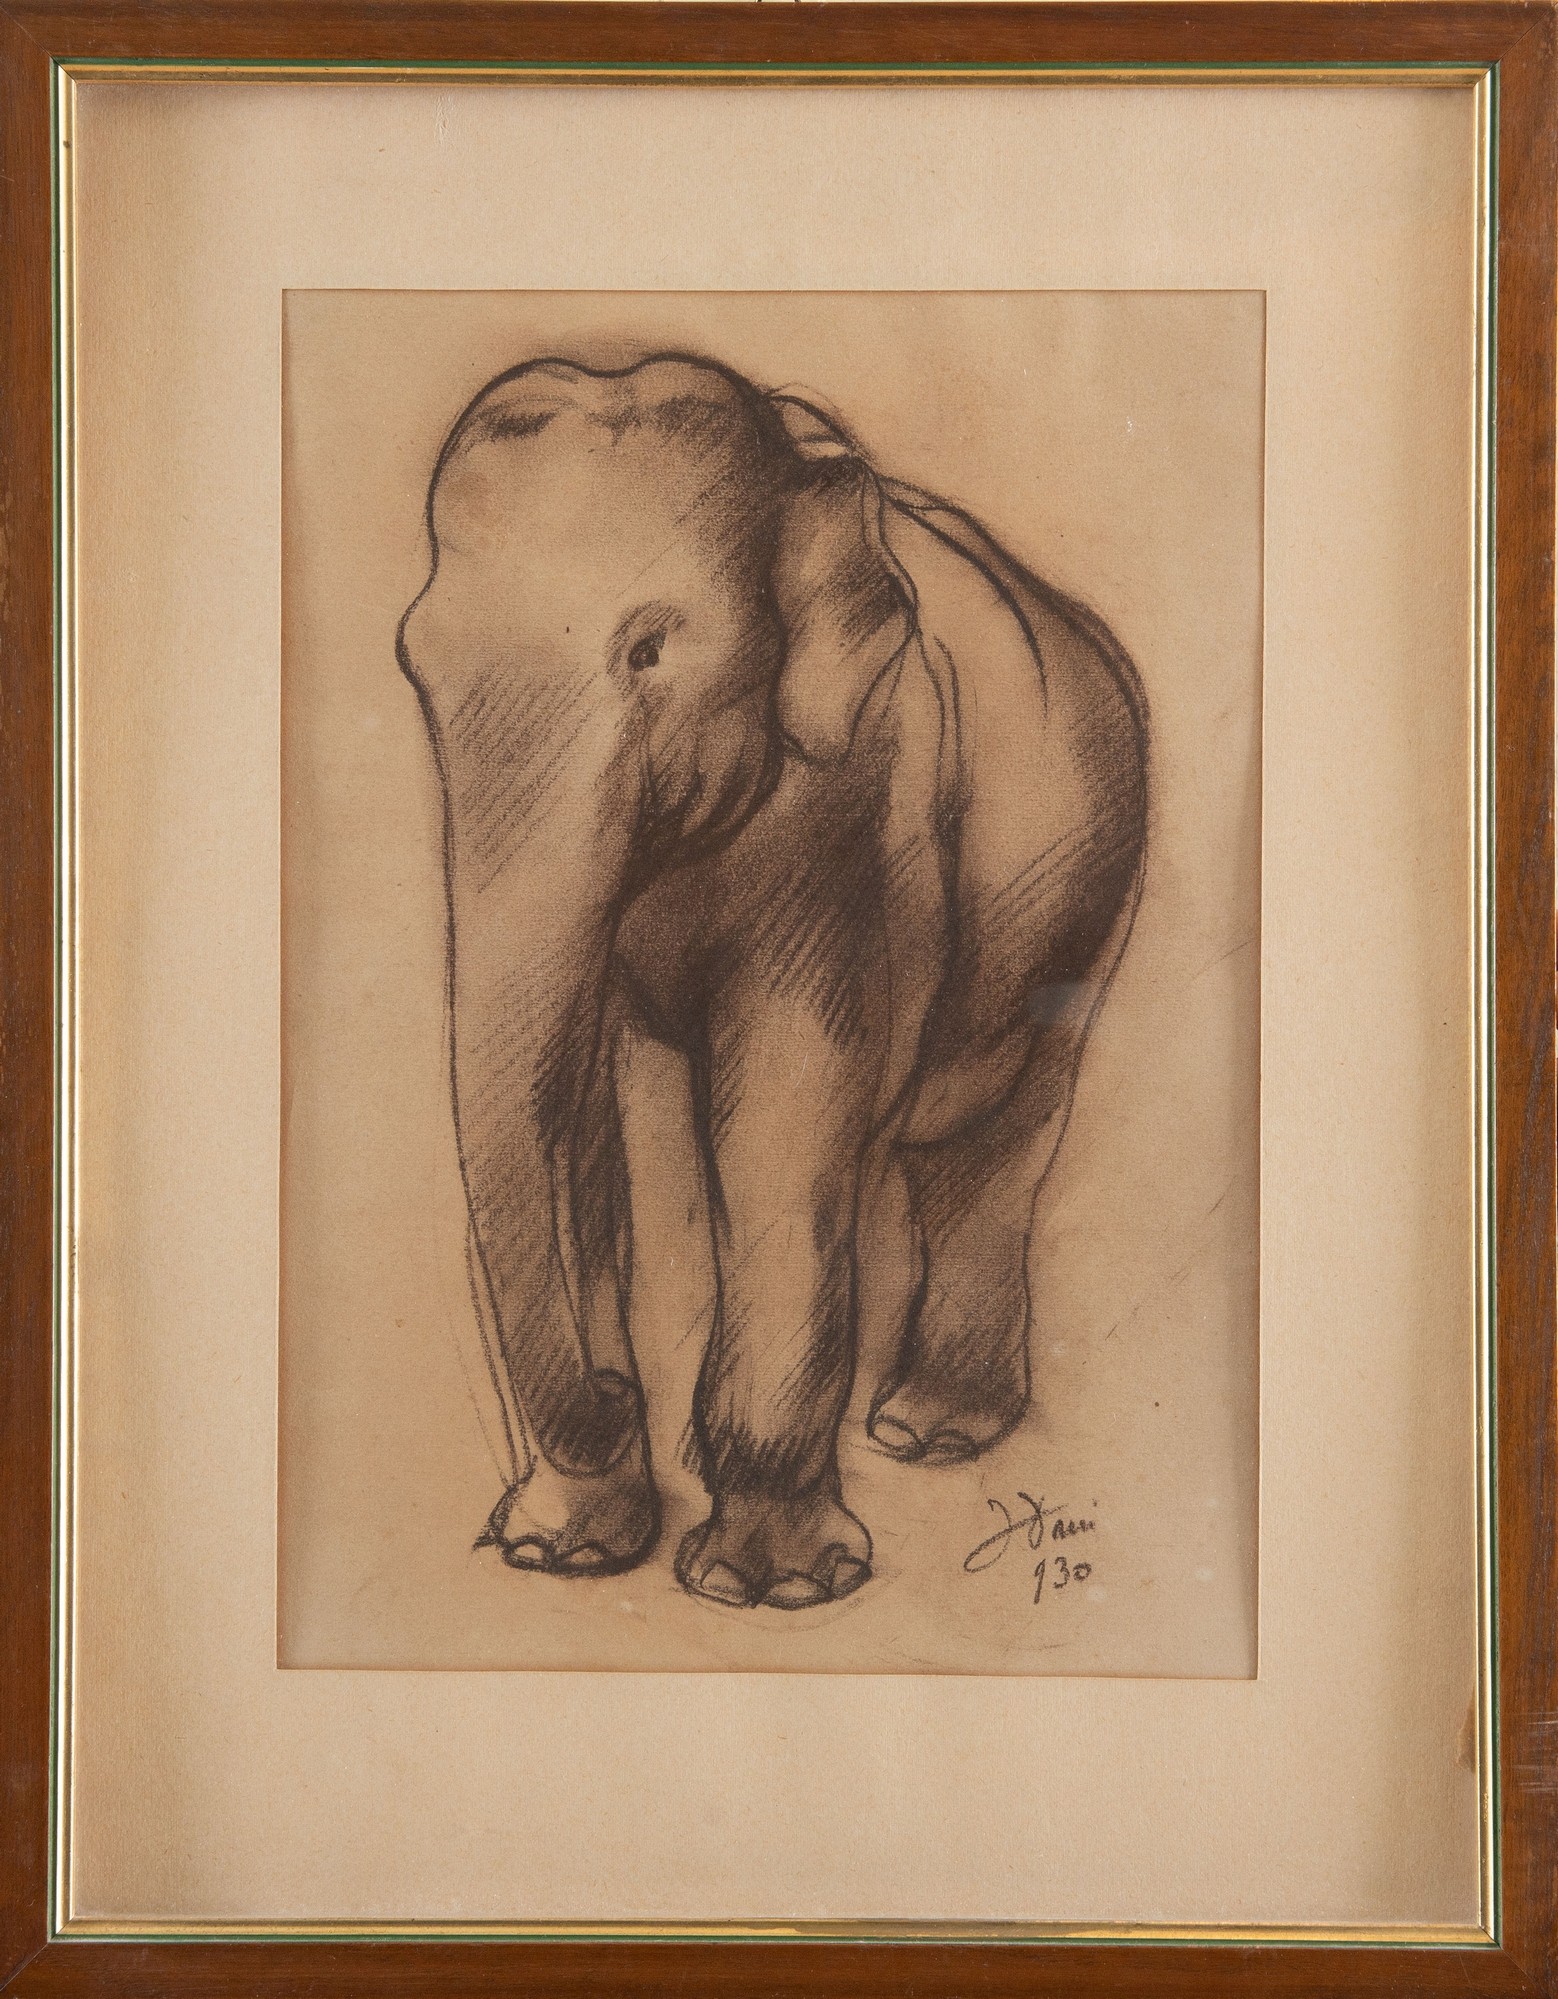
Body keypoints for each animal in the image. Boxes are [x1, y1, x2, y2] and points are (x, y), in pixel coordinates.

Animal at [396, 350, 1148, 1612]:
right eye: (415, 662)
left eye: (649, 652)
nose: (618, 1393)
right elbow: (573, 1098)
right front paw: (566, 1549)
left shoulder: (859, 792)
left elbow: (790, 1103)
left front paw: (772, 1586)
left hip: (1093, 895)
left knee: (996, 1127)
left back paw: (926, 1432)